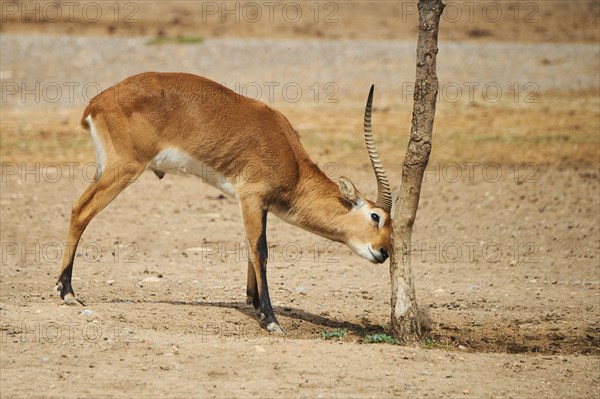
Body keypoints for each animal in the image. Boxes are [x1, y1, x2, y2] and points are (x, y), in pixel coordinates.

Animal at [57, 72, 394, 334]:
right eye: (376, 216)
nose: (383, 252)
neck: (292, 161)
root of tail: (97, 101)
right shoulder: (252, 197)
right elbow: (261, 251)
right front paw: (270, 319)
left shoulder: (255, 204)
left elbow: (251, 247)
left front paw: (254, 303)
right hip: (123, 170)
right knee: (81, 211)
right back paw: (68, 293)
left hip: (105, 170)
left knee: (76, 207)